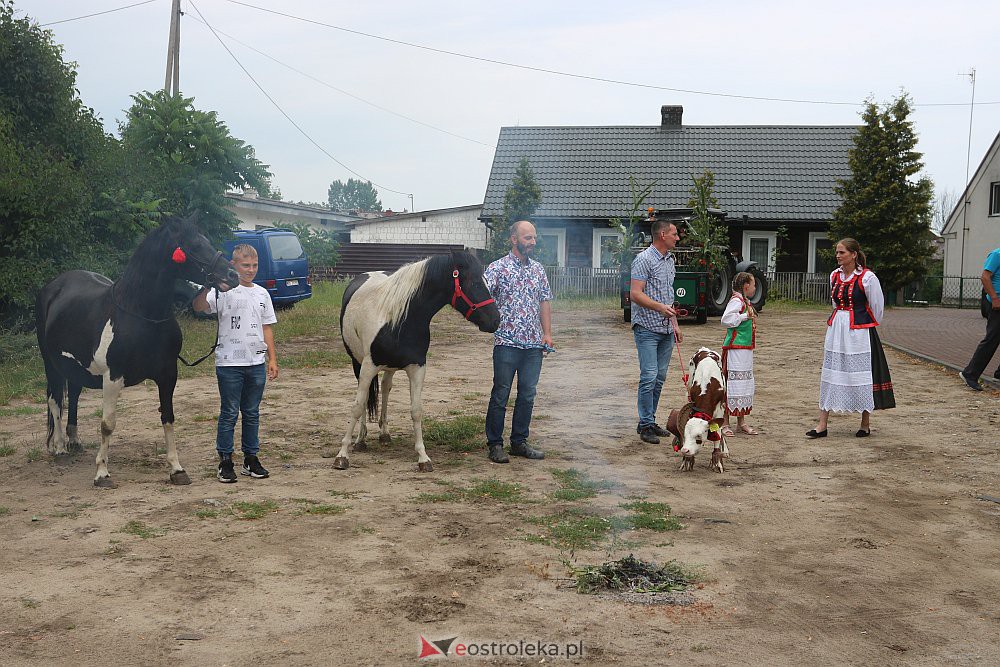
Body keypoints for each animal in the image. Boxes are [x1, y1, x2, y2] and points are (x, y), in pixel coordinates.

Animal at [34, 217, 238, 488]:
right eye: (194, 245)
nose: (233, 275)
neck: (140, 314)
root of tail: (51, 287)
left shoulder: (167, 375)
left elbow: (168, 417)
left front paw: (177, 469)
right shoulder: (113, 377)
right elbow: (107, 424)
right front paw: (102, 473)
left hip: (75, 366)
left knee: (73, 395)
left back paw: (74, 441)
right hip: (51, 364)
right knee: (55, 400)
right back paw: (59, 448)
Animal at [336, 248, 500, 472]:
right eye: (474, 282)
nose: (496, 320)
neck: (399, 319)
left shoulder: (417, 367)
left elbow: (416, 410)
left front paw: (423, 457)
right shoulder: (369, 367)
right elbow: (358, 406)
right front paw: (342, 454)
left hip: (389, 366)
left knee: (386, 388)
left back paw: (384, 434)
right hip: (357, 362)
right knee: (367, 395)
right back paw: (361, 439)